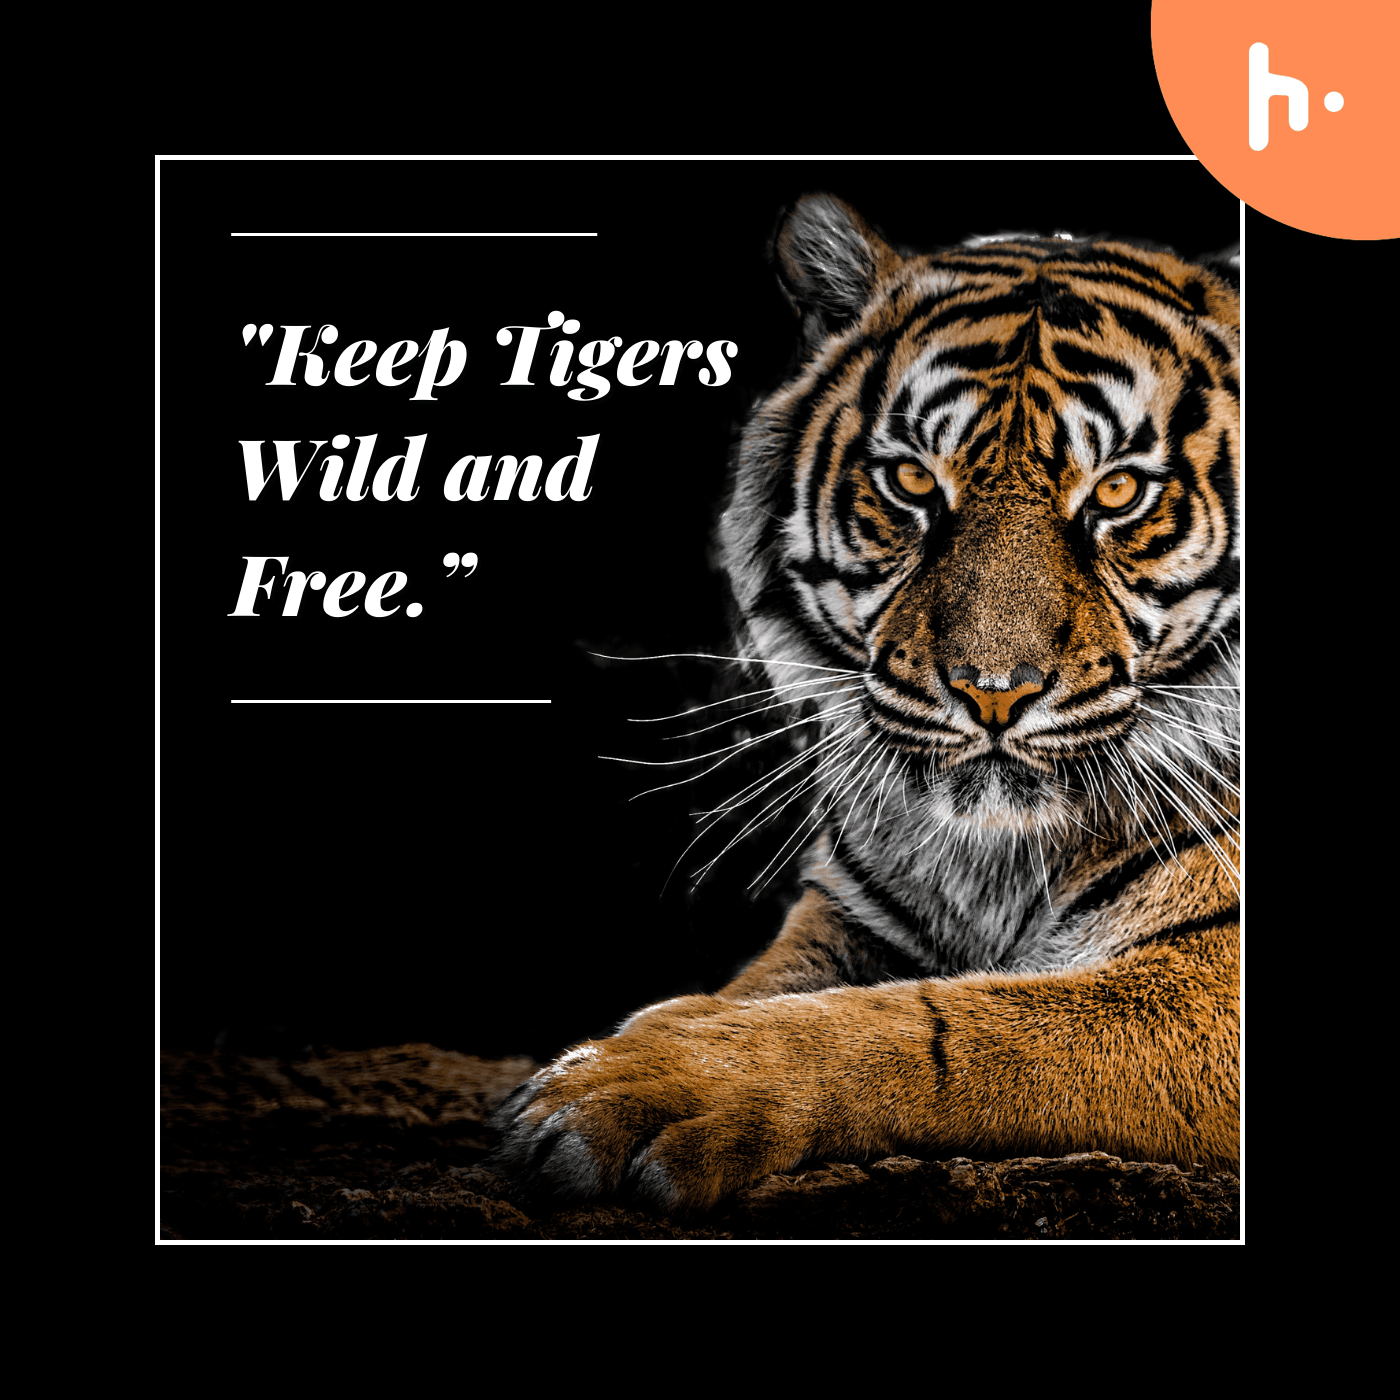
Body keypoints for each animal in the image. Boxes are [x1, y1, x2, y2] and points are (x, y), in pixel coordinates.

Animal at [492, 194, 1241, 1212]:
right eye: (914, 480)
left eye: (1120, 490)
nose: (993, 693)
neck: (993, 860)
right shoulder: (850, 912)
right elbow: (768, 986)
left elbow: (946, 1025)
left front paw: (642, 1084)